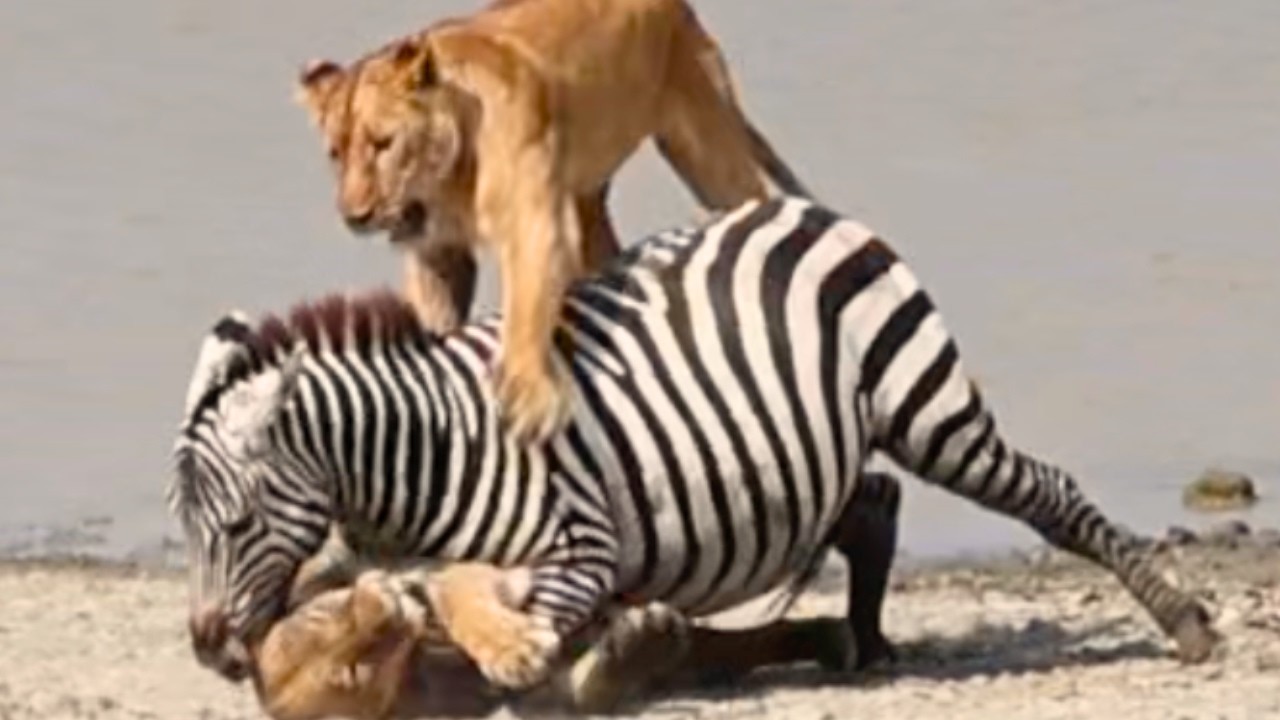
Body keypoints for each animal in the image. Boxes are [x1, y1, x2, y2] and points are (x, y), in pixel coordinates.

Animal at [168, 196, 1218, 691]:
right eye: (188, 528)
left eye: (240, 520)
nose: (209, 649)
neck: (424, 453)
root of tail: (796, 206)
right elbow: (381, 592)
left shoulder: (582, 545)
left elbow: (480, 606)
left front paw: (533, 652)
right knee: (874, 503)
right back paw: (868, 641)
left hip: (927, 407)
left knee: (1050, 494)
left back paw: (1184, 621)